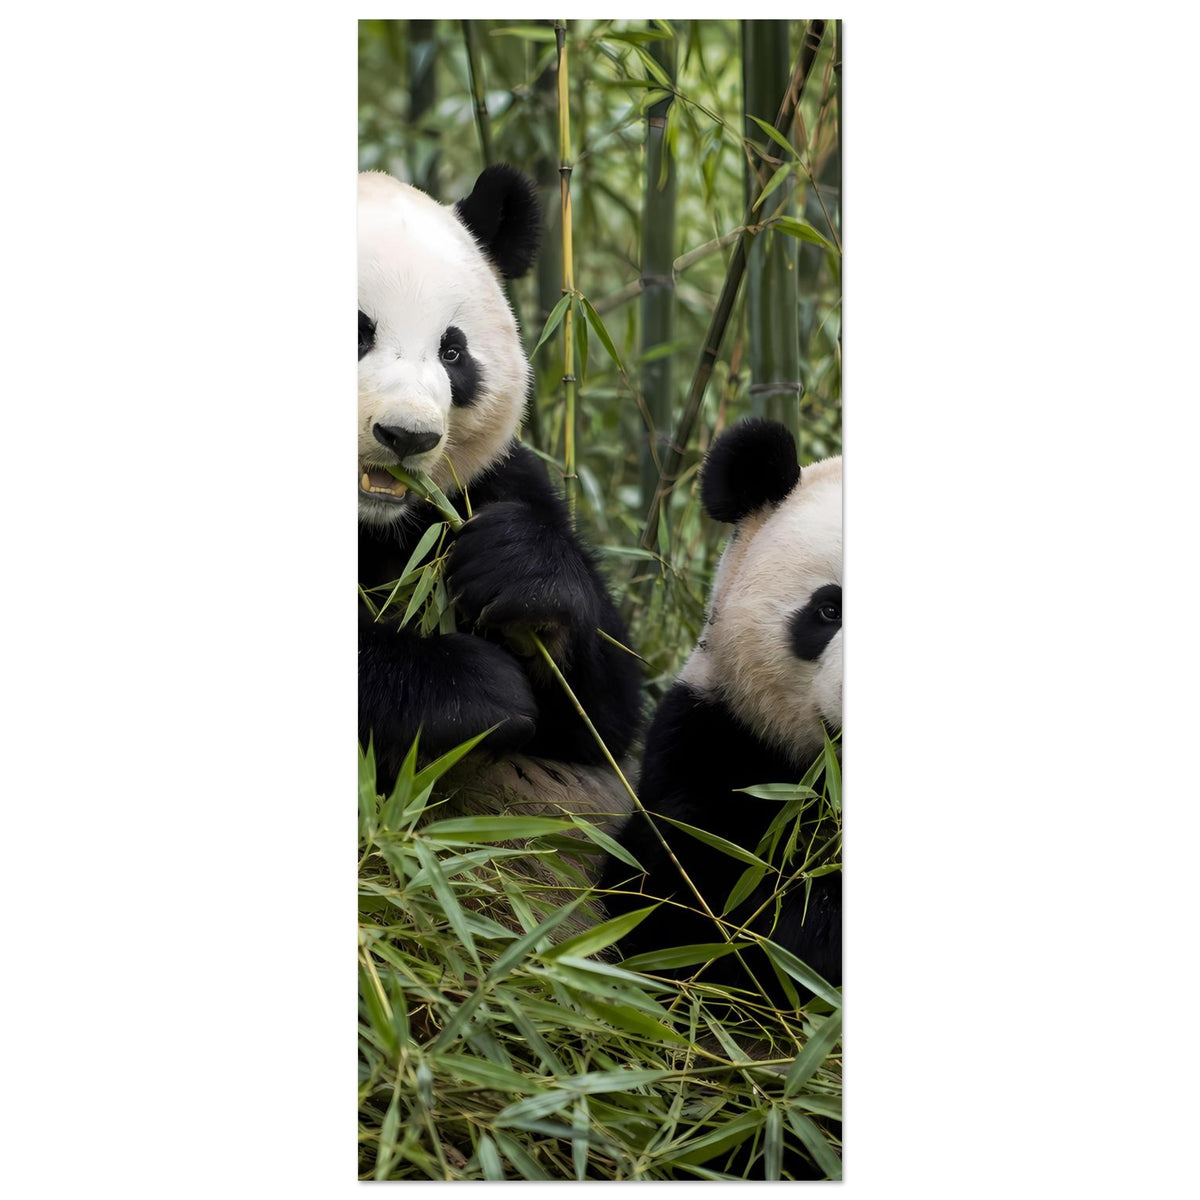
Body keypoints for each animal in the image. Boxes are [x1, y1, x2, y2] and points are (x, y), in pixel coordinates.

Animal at [358, 165, 641, 849]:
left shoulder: (486, 484)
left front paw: (521, 573)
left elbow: (605, 722)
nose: (406, 436)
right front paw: (476, 689)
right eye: (355, 331)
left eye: (452, 352)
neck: (373, 523)